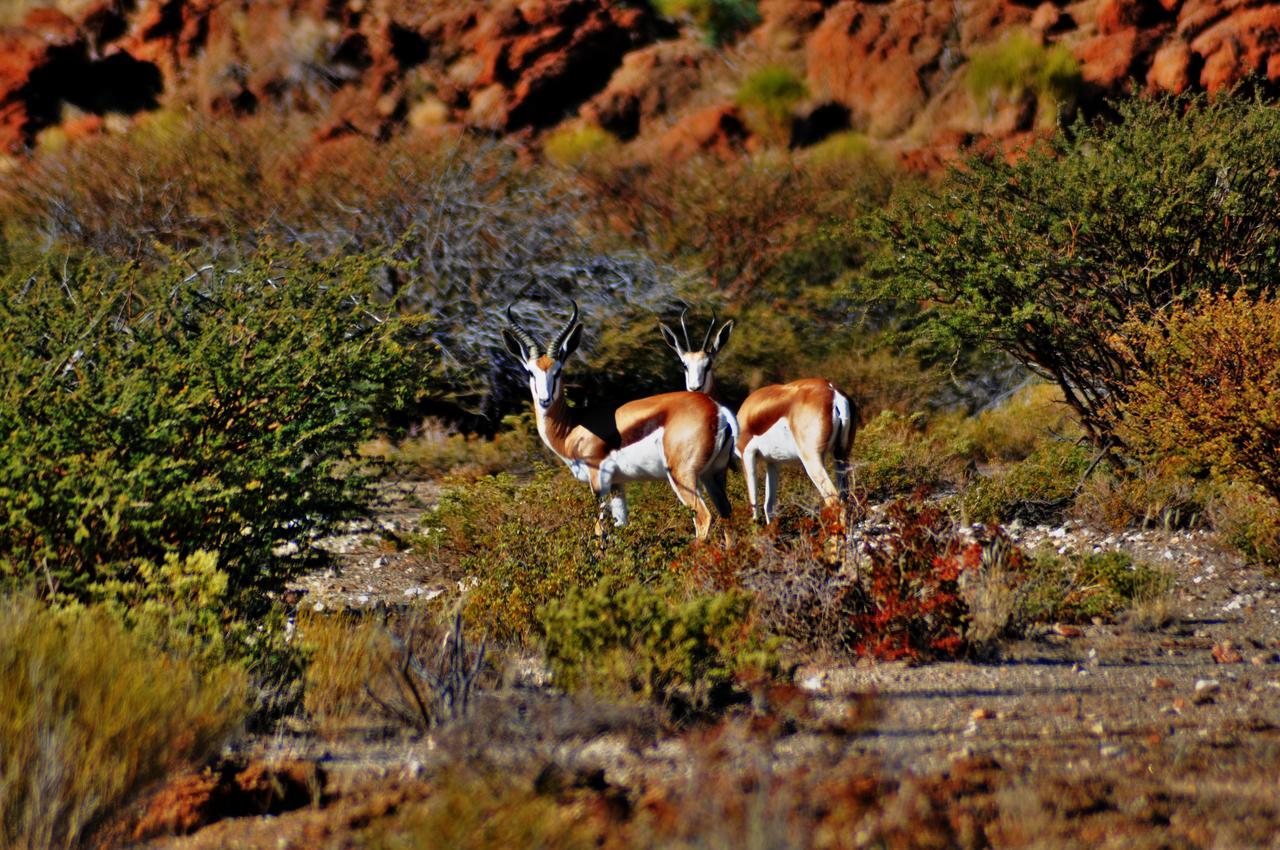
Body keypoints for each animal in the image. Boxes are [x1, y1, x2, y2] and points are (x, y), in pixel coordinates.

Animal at [501, 300, 742, 537]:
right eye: (531, 372)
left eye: (558, 370)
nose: (545, 400)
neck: (572, 426)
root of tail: (717, 409)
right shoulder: (618, 484)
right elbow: (621, 525)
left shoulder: (599, 481)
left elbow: (600, 531)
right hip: (714, 475)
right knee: (727, 515)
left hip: (683, 476)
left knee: (703, 517)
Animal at [665, 312, 855, 524]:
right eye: (685, 365)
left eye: (709, 364)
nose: (695, 388)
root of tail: (833, 393)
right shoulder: (773, 462)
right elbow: (769, 506)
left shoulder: (747, 455)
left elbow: (754, 506)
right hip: (841, 455)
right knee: (846, 498)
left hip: (813, 459)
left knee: (835, 501)